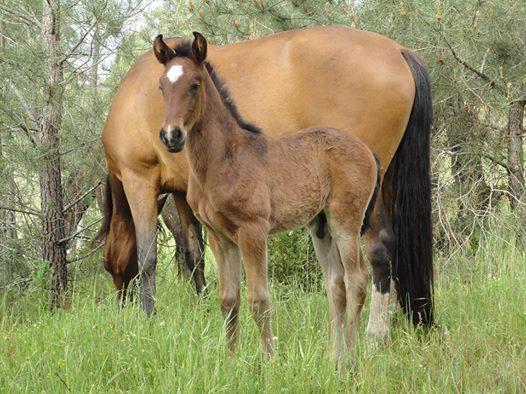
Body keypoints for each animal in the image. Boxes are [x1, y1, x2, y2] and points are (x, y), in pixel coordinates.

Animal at [98, 23, 434, 332]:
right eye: (161, 88)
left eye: (107, 263)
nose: (120, 304)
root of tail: (398, 51)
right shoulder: (183, 193)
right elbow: (194, 253)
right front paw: (203, 307)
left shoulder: (139, 181)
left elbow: (147, 258)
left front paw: (148, 318)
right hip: (384, 181)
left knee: (379, 248)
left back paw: (374, 333)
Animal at [154, 33, 384, 366]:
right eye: (161, 85)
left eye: (194, 84)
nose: (171, 136)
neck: (223, 160)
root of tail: (367, 150)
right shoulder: (219, 237)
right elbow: (229, 300)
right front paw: (231, 362)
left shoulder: (253, 231)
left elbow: (259, 298)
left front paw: (267, 363)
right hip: (320, 226)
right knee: (335, 284)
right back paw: (333, 358)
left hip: (346, 220)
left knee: (357, 279)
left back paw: (350, 361)